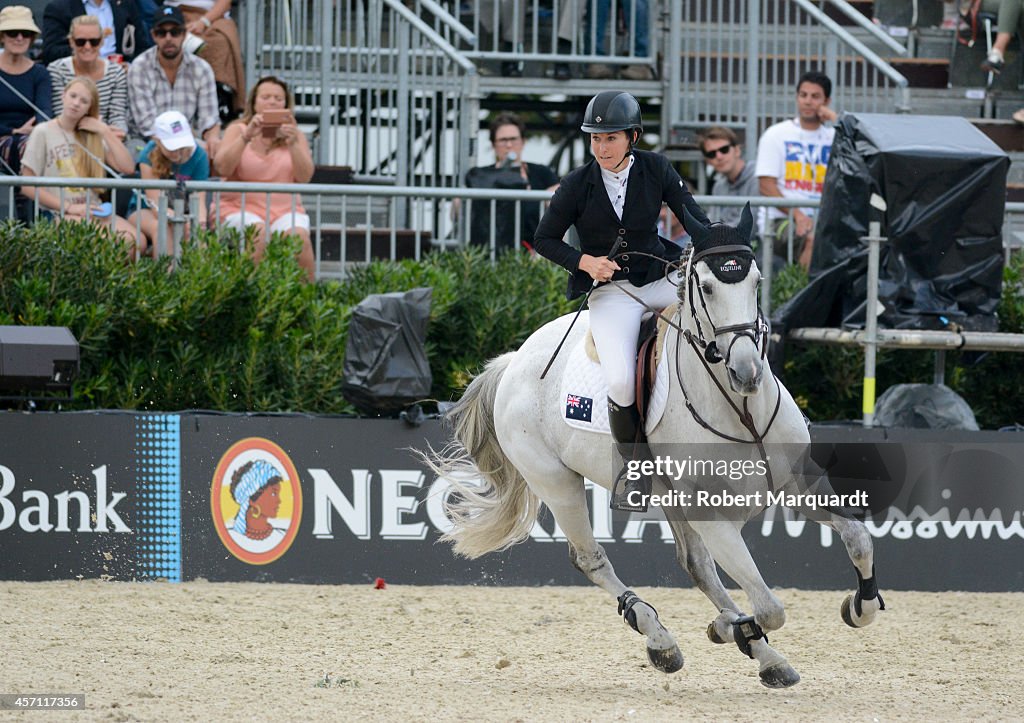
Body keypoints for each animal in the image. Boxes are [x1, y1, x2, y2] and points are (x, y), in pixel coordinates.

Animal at [419, 203, 884, 688]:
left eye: (756, 281)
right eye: (708, 287)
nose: (747, 374)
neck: (742, 413)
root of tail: (514, 360)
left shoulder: (798, 486)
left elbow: (858, 538)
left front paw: (859, 607)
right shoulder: (714, 518)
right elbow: (771, 608)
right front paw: (735, 629)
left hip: (667, 496)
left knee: (695, 564)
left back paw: (757, 651)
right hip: (556, 481)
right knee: (592, 559)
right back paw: (662, 639)